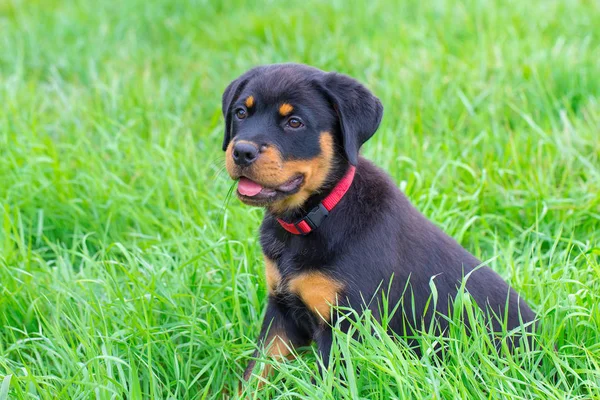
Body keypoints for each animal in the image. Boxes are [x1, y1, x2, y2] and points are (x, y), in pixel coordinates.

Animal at [221, 64, 536, 386]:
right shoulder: (281, 312)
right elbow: (254, 373)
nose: (242, 151)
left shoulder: (346, 326)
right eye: (240, 113)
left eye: (294, 122)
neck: (315, 215)